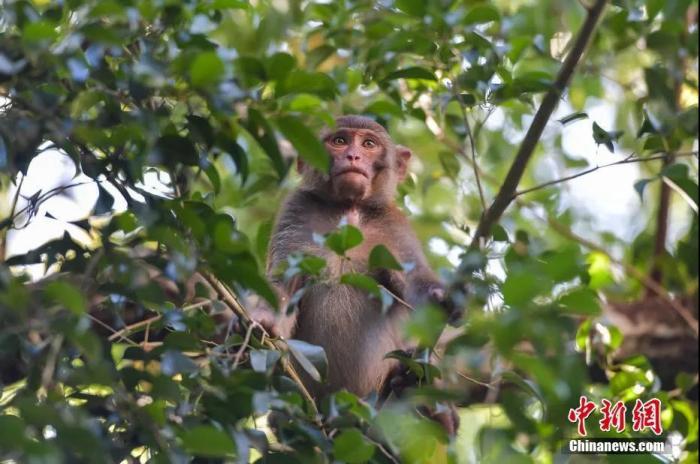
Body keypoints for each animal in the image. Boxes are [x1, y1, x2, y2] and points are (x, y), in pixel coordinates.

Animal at [252, 114, 460, 434]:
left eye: (369, 144)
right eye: (340, 141)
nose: (353, 156)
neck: (348, 209)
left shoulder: (393, 225)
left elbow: (414, 280)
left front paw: (442, 296)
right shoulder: (295, 212)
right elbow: (284, 284)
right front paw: (262, 318)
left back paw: (426, 403)